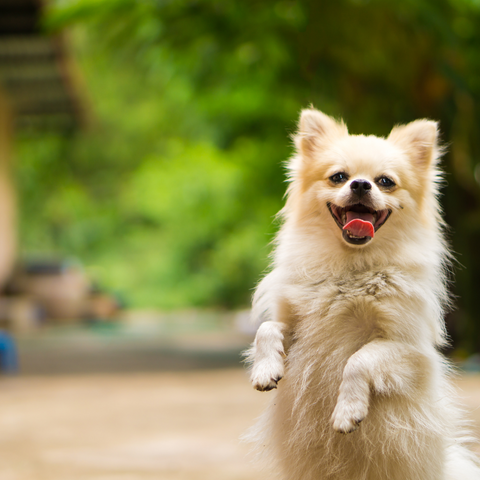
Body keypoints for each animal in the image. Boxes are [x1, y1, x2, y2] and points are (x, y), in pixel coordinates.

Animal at [246, 109, 478, 480]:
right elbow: (267, 329)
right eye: (338, 177)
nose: (360, 185)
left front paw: (347, 412)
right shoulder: (297, 326)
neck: (352, 268)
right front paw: (265, 370)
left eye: (385, 181)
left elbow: (359, 360)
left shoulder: (406, 349)